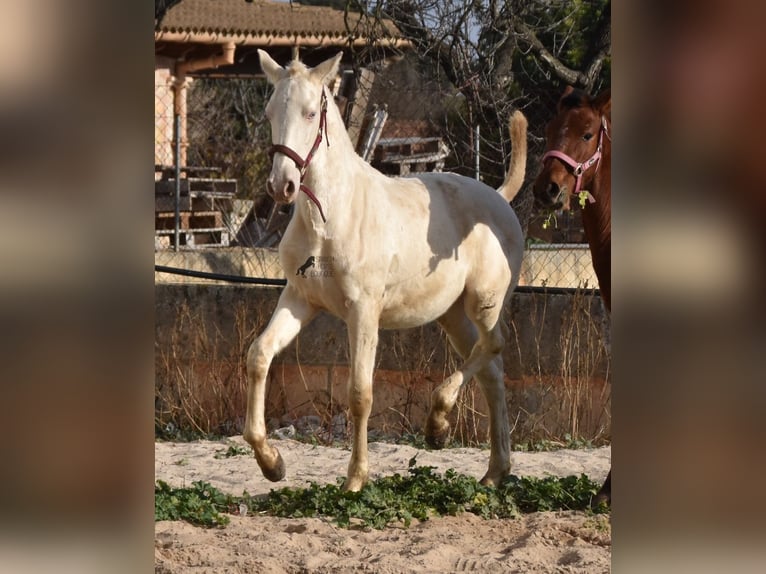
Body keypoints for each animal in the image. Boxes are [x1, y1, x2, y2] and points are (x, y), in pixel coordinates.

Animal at [246, 49, 528, 492]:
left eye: (310, 113)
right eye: (270, 111)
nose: (282, 186)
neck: (329, 217)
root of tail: (499, 198)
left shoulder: (363, 311)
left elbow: (360, 392)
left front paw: (355, 480)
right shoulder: (300, 300)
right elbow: (259, 355)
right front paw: (271, 463)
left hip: (484, 302)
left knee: (494, 347)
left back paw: (438, 425)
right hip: (452, 316)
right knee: (492, 372)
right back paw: (493, 470)